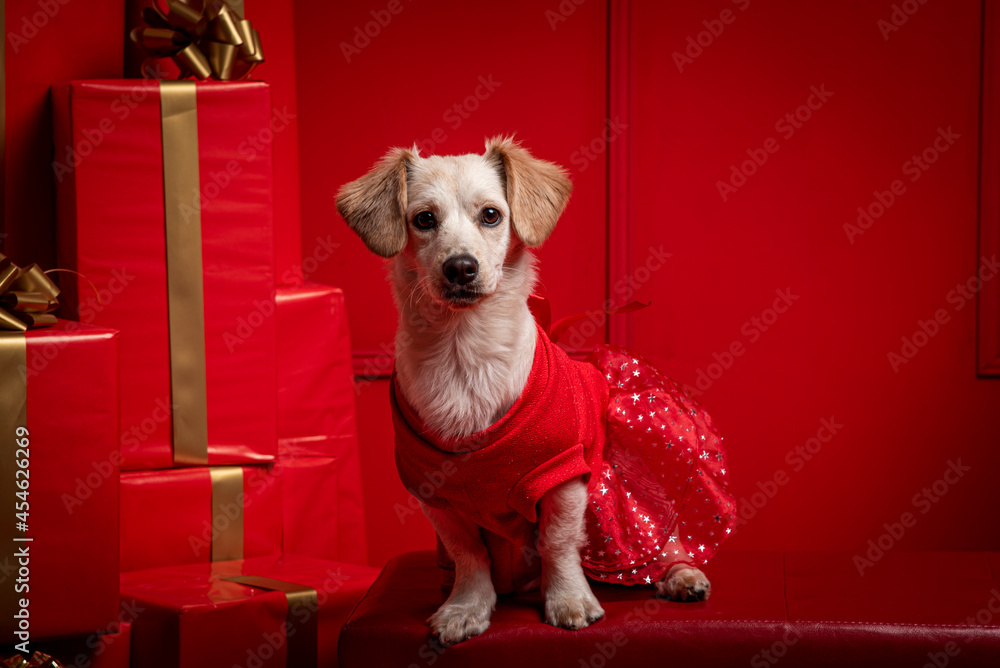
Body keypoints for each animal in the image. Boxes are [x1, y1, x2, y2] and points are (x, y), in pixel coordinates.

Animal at [336, 138, 728, 644]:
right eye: (423, 219)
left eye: (491, 215)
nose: (460, 267)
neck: (465, 354)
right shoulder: (434, 496)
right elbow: (468, 554)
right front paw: (466, 607)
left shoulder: (561, 475)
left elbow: (557, 543)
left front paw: (569, 600)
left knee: (657, 544)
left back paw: (679, 575)